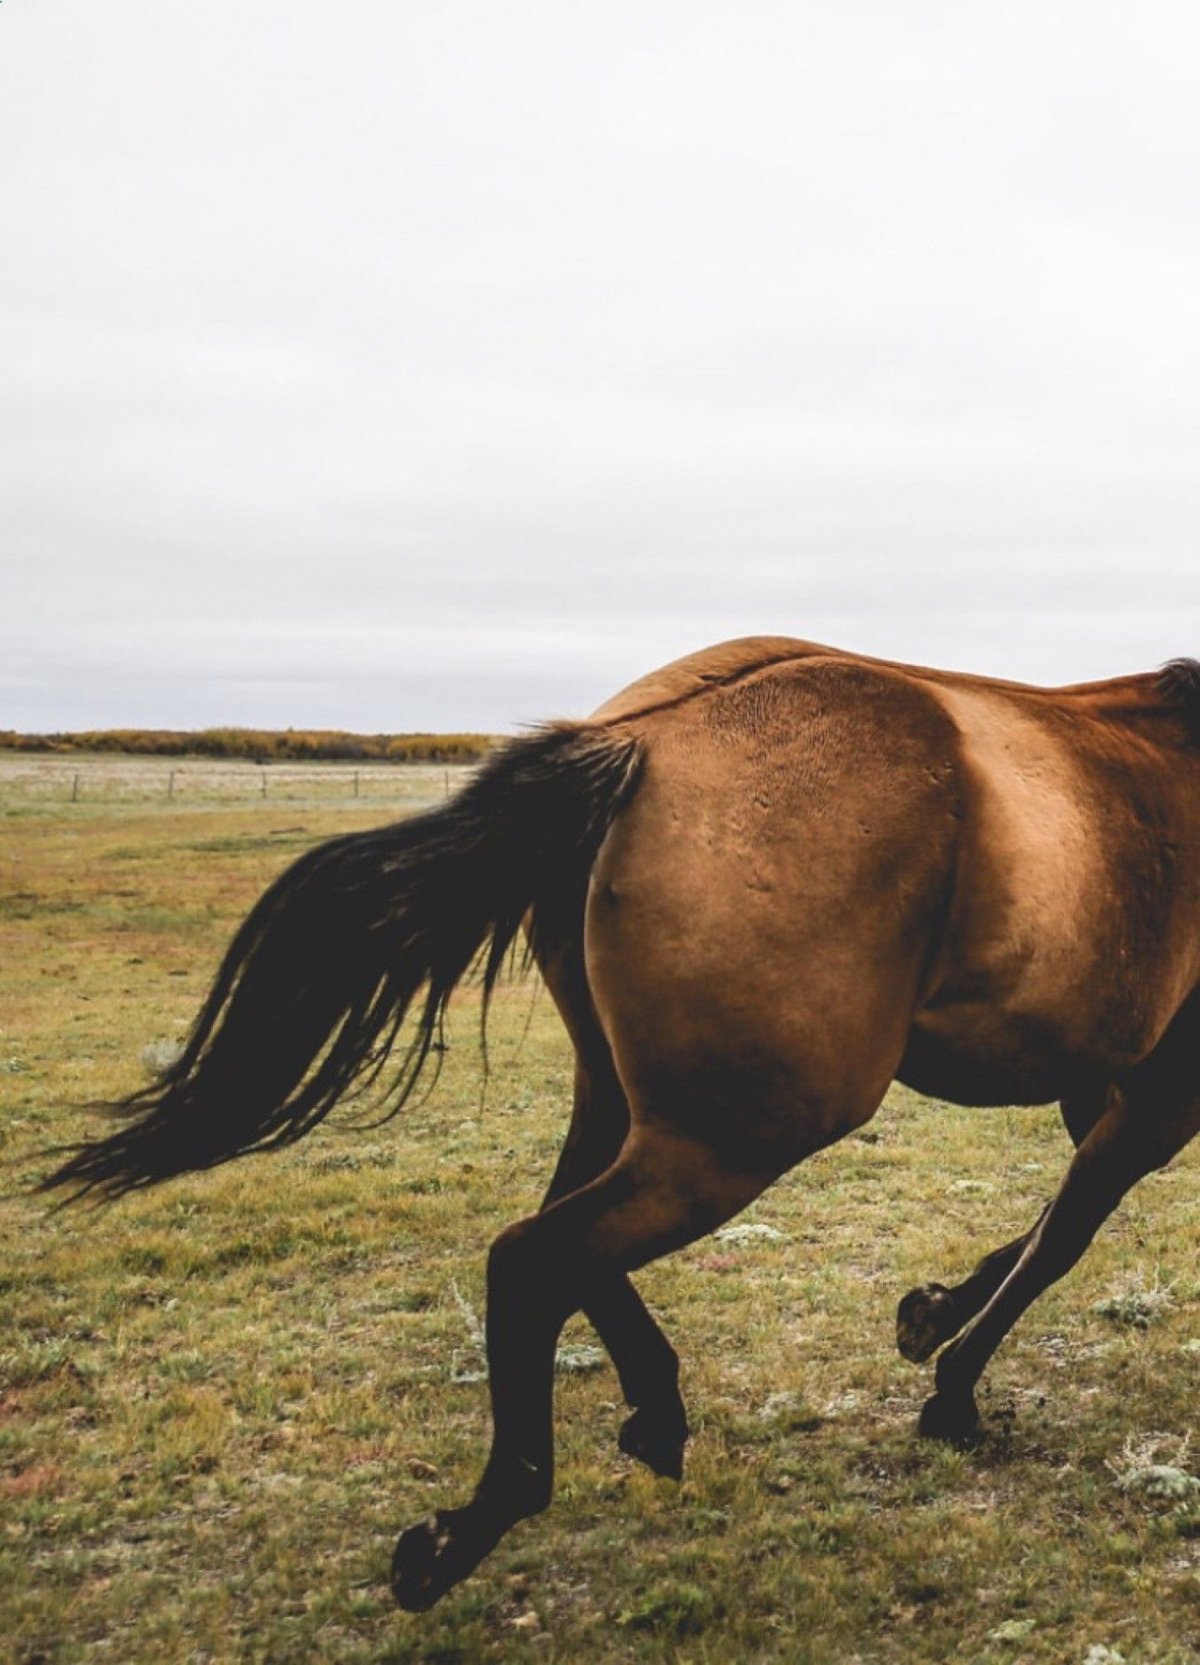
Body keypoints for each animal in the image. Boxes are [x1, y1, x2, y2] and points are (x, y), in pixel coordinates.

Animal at [42, 636, 1198, 1611]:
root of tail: (645, 739)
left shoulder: (1112, 1096)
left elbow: (1047, 1226)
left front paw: (932, 1316)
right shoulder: (1154, 1102)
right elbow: (1062, 1239)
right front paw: (953, 1389)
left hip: (631, 1104)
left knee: (561, 1236)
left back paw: (649, 1413)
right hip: (736, 1138)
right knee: (536, 1255)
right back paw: (473, 1528)